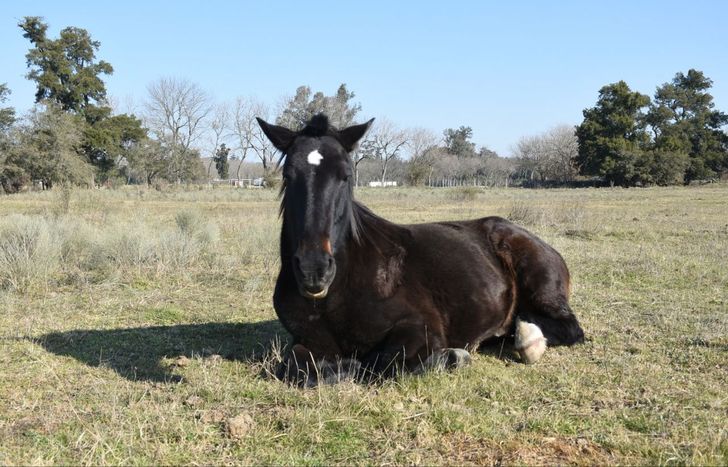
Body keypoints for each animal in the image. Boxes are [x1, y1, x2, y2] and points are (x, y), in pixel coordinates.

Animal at [256, 114, 584, 386]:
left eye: (345, 176)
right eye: (287, 175)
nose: (314, 270)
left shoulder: (418, 327)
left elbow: (381, 366)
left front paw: (452, 357)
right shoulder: (304, 341)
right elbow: (296, 368)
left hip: (542, 291)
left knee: (569, 328)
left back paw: (528, 341)